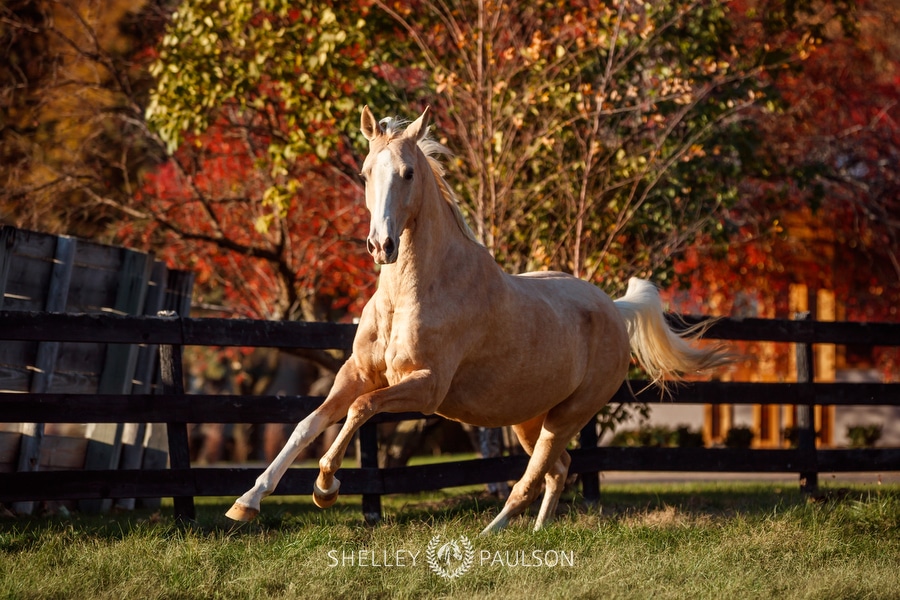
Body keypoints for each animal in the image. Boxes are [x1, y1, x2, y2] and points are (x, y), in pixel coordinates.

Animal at [227, 105, 732, 532]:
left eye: (408, 173)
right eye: (366, 172)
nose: (380, 246)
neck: (413, 294)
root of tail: (613, 307)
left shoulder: (425, 387)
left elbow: (361, 409)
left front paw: (326, 486)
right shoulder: (357, 372)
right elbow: (308, 423)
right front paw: (246, 503)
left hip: (568, 415)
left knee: (531, 479)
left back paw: (493, 534)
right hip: (530, 418)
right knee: (558, 471)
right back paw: (536, 532)